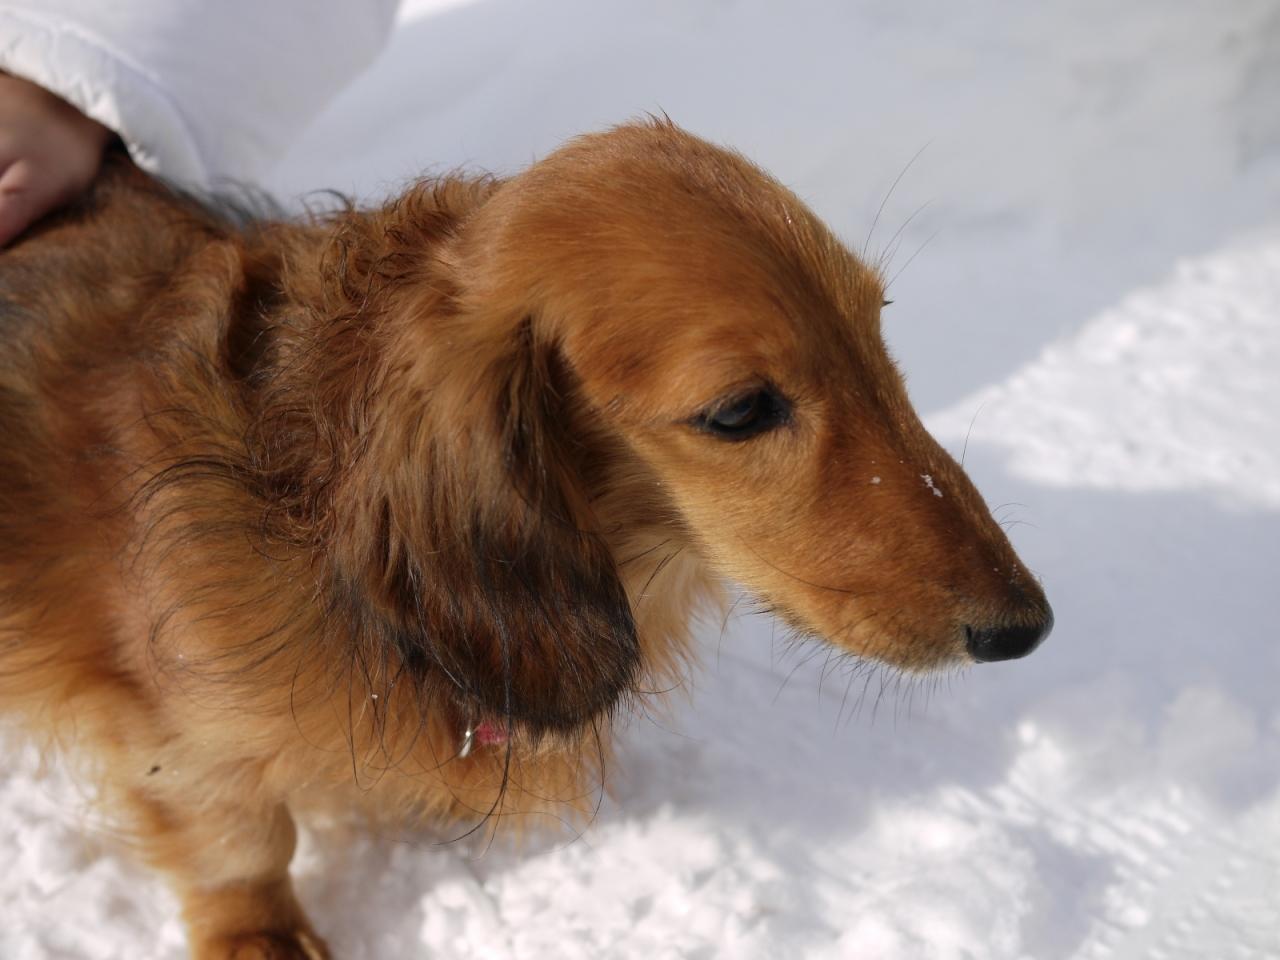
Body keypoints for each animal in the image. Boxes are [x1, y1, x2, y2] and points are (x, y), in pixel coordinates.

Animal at [0, 119, 1052, 959]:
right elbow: (238, 840)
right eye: (740, 410)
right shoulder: (176, 732)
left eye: (877, 327)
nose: (1027, 626)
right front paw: (260, 939)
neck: (313, 493)